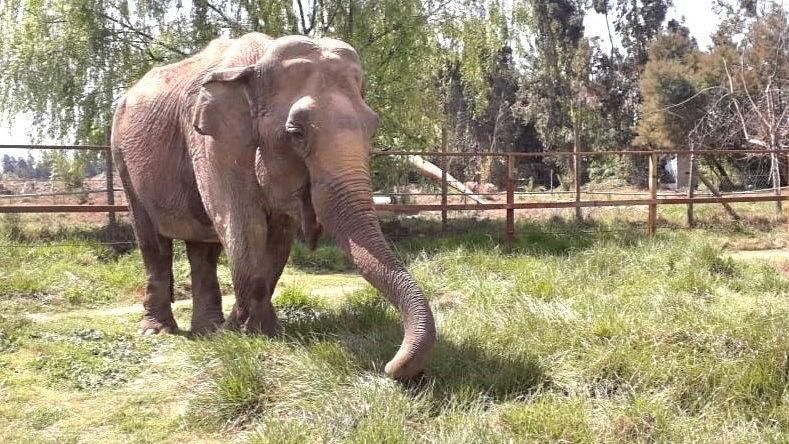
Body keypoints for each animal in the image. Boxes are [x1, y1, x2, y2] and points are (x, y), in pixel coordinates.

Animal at [111, 33, 436, 379]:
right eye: (296, 132)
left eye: (373, 128)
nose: (389, 366)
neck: (257, 62)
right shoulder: (215, 142)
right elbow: (243, 223)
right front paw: (244, 333)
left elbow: (279, 236)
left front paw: (263, 331)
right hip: (121, 156)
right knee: (153, 241)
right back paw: (158, 331)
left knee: (203, 248)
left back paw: (207, 330)